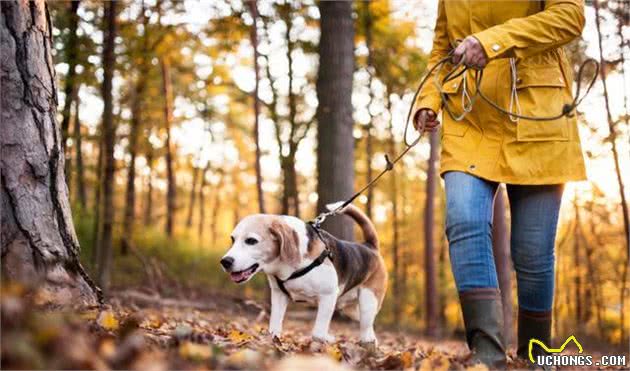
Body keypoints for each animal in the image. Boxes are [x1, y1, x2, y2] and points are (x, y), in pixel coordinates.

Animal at [222, 203, 390, 346]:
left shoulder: (328, 296)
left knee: (366, 327)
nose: (225, 261)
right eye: (232, 239)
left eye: (251, 241)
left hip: (368, 303)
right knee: (369, 328)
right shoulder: (279, 295)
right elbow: (274, 328)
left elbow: (317, 334)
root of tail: (370, 246)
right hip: (351, 310)